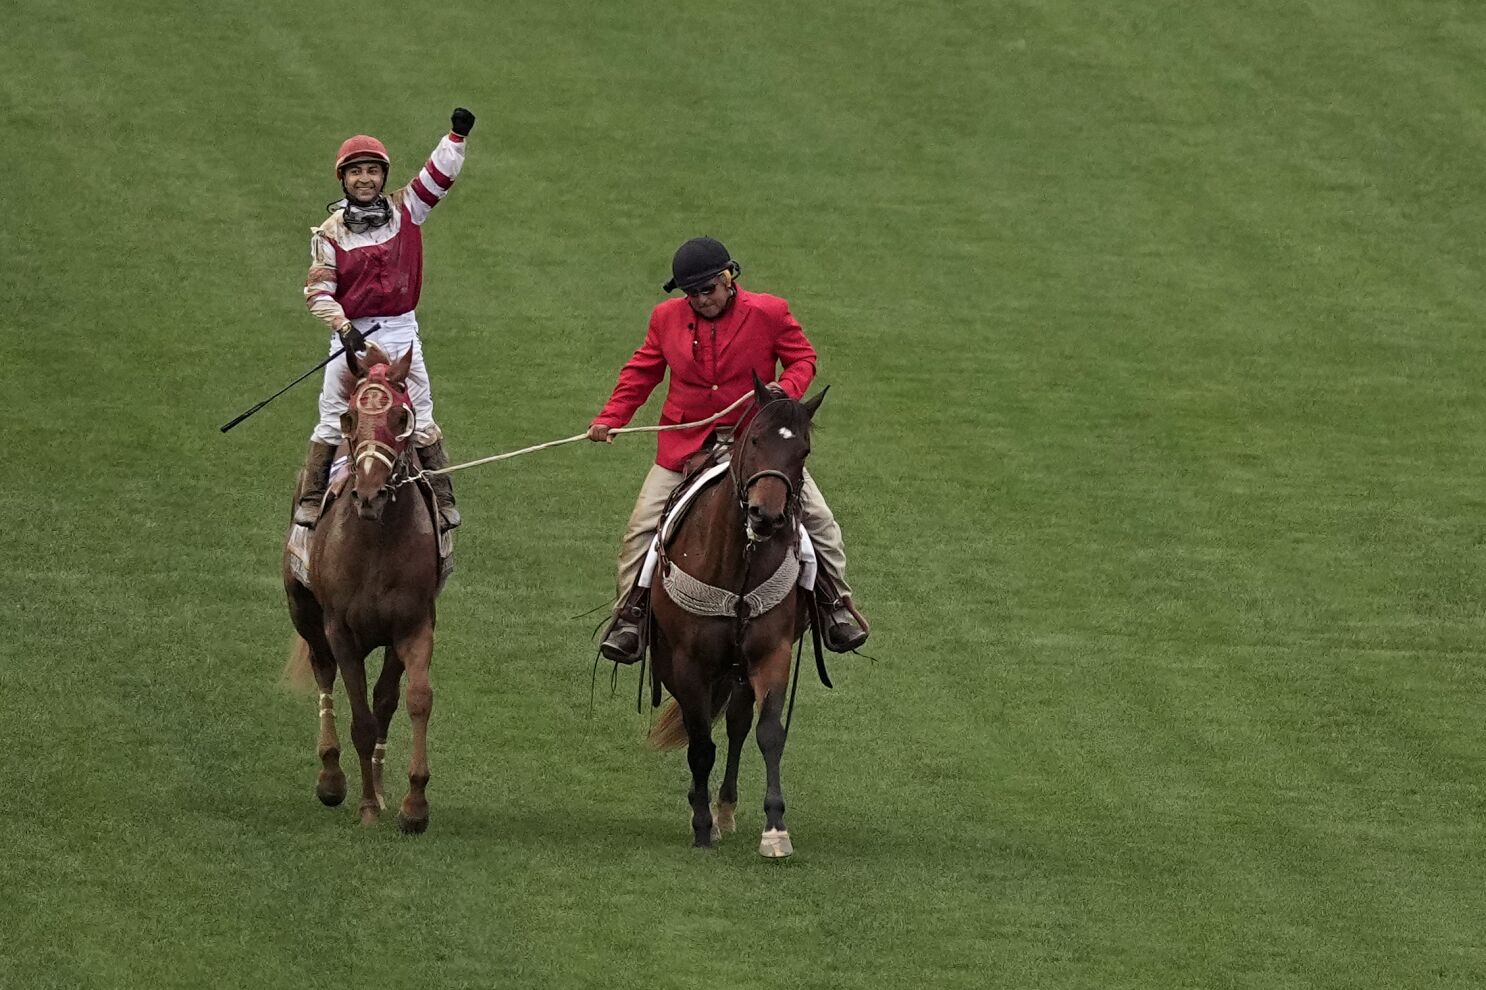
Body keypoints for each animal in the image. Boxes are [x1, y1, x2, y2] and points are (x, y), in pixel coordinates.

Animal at [279, 338, 439, 832]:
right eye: (349, 418)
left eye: (402, 418)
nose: (369, 495)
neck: (375, 542)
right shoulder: (341, 630)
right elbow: (361, 719)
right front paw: (365, 805)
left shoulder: (413, 625)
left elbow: (412, 700)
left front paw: (412, 805)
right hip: (305, 614)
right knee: (323, 673)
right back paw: (331, 778)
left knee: (385, 698)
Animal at [641, 374, 826, 850]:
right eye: (756, 439)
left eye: (803, 451)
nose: (766, 516)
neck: (737, 564)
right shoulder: (689, 663)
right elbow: (700, 743)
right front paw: (701, 827)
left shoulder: (771, 653)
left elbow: (768, 733)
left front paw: (775, 828)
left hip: (740, 669)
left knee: (738, 725)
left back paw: (725, 808)